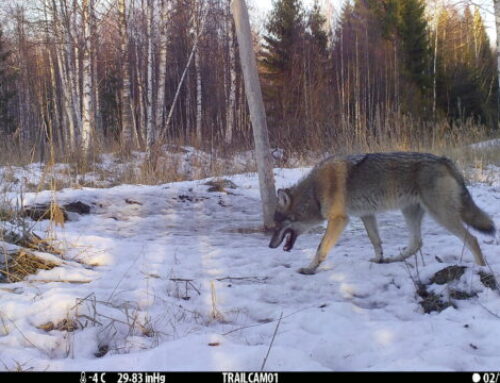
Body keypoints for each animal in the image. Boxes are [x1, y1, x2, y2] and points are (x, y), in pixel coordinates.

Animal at [268, 152, 494, 274]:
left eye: (277, 225)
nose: (270, 246)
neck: (314, 191)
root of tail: (444, 160)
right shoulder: (366, 215)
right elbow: (375, 240)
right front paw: (379, 259)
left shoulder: (339, 220)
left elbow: (320, 248)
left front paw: (309, 269)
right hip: (410, 212)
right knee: (416, 243)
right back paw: (392, 259)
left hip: (441, 215)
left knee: (472, 239)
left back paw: (481, 268)